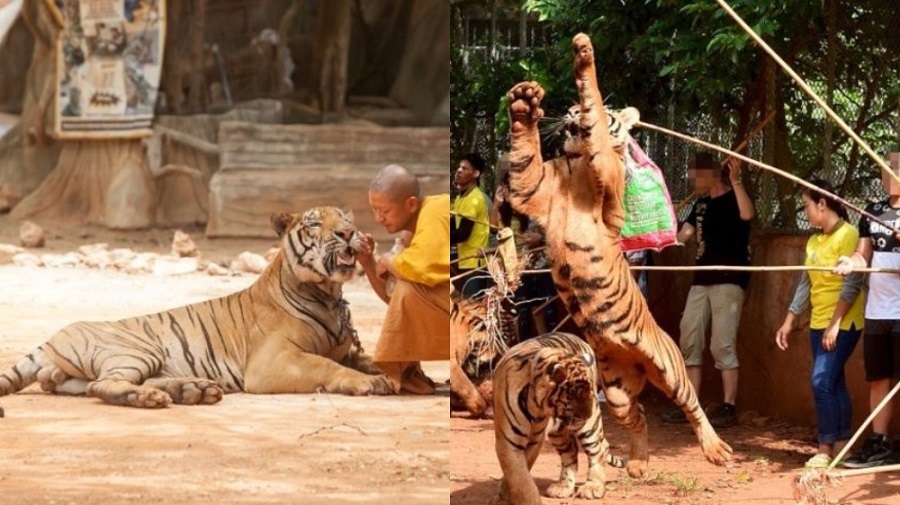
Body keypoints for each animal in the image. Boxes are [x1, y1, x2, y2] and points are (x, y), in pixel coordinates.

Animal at [0, 206, 395, 414]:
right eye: (314, 223)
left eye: (346, 219)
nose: (348, 233)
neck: (328, 294)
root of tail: (54, 337)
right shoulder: (273, 361)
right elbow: (325, 365)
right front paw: (371, 382)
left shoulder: (345, 349)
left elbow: (369, 357)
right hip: (138, 350)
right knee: (105, 384)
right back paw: (154, 398)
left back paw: (194, 390)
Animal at [491, 332, 624, 505]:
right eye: (573, 397)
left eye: (588, 394)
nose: (587, 415)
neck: (534, 404)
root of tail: (577, 337)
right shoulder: (509, 442)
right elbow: (519, 477)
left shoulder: (534, 440)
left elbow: (522, 475)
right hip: (559, 432)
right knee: (571, 452)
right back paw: (563, 487)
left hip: (589, 427)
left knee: (600, 448)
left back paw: (593, 487)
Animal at [504, 32, 732, 478]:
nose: (568, 111)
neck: (575, 166)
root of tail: (637, 362)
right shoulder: (533, 187)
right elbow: (525, 153)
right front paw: (523, 102)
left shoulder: (602, 168)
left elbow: (594, 106)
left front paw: (583, 55)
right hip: (617, 390)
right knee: (639, 415)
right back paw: (639, 463)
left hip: (670, 368)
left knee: (694, 407)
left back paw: (716, 450)